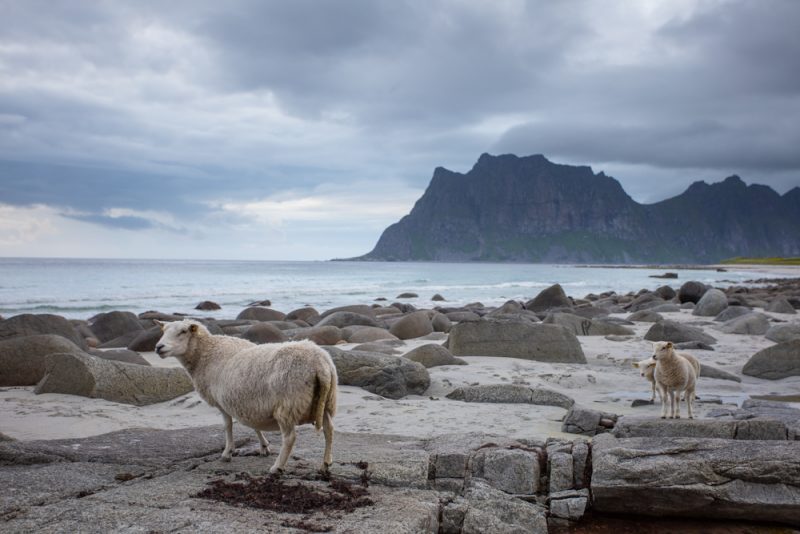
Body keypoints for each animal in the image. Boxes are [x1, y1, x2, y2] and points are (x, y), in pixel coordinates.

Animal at [154, 320, 338, 476]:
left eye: (183, 331)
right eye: (163, 330)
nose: (158, 347)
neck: (206, 353)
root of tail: (320, 364)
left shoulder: (222, 403)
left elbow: (227, 426)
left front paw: (227, 453)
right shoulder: (248, 402)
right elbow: (254, 425)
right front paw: (264, 447)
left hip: (288, 405)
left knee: (290, 438)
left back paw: (277, 467)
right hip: (326, 401)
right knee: (329, 430)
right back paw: (325, 464)